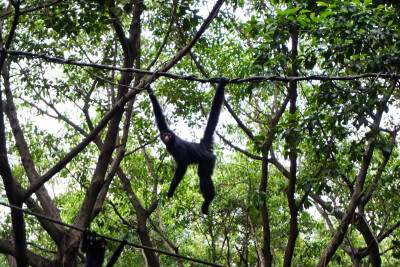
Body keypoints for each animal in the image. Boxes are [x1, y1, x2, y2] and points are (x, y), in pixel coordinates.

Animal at [148, 76, 228, 215]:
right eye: (165, 135)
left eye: (168, 135)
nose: (166, 137)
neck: (172, 141)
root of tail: (202, 145)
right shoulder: (164, 129)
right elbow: (159, 117)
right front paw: (150, 91)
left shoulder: (177, 147)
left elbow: (182, 166)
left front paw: (170, 191)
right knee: (202, 173)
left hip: (209, 159)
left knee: (204, 174)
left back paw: (209, 199)